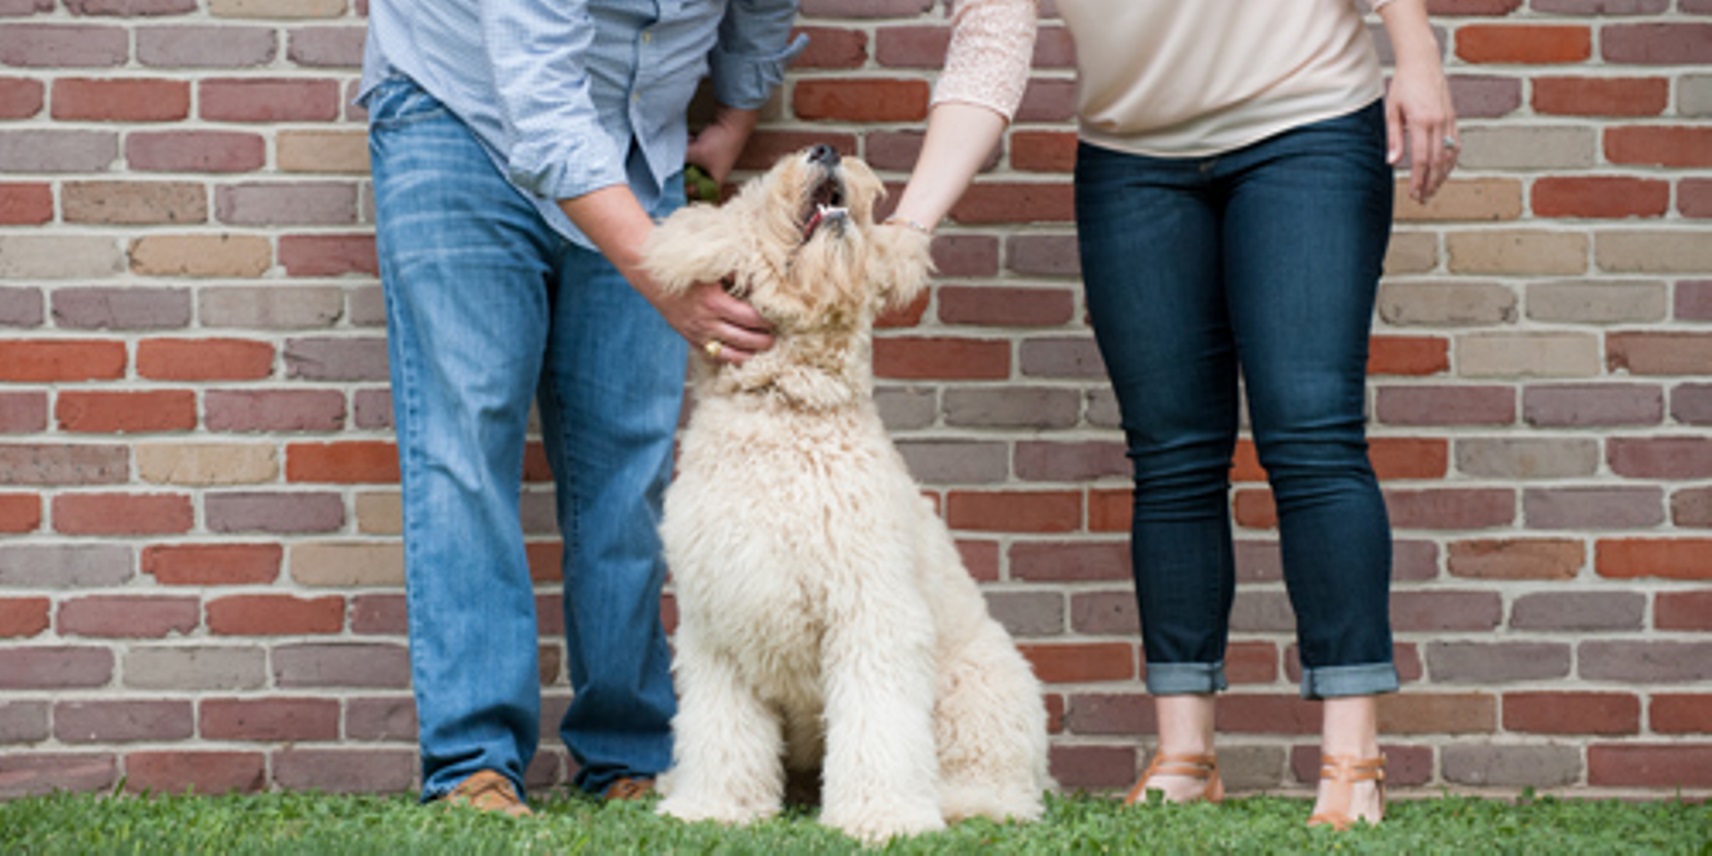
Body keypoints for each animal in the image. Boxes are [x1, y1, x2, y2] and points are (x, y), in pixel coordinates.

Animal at [640, 147, 1040, 842]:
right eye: (762, 190)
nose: (824, 150)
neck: (789, 413)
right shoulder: (717, 623)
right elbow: (720, 730)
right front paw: (714, 807)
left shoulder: (871, 611)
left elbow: (879, 726)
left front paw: (884, 817)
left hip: (979, 689)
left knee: (1001, 786)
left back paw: (964, 802)